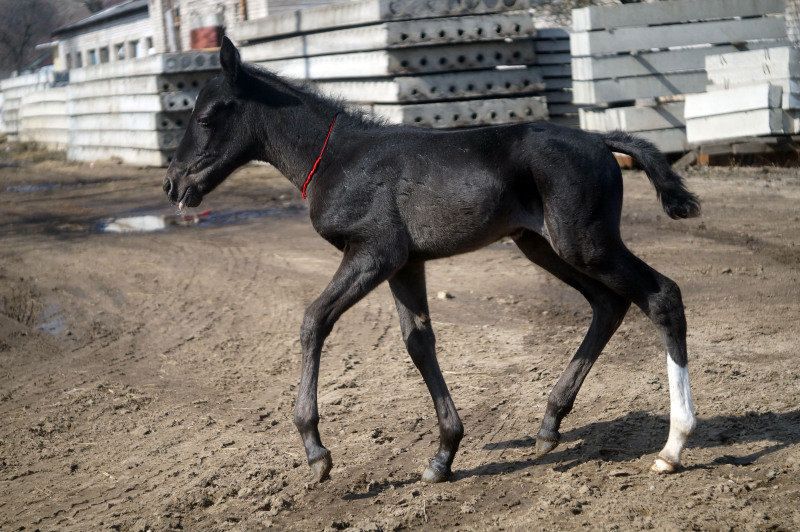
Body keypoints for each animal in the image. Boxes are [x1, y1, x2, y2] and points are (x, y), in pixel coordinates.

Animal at [164, 38, 700, 482]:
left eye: (207, 117)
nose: (172, 184)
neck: (337, 159)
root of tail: (599, 140)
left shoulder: (374, 252)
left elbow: (314, 320)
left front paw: (316, 451)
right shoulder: (405, 263)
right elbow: (418, 342)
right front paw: (444, 454)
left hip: (584, 243)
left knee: (661, 295)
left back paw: (673, 446)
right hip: (543, 244)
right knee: (608, 304)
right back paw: (550, 423)